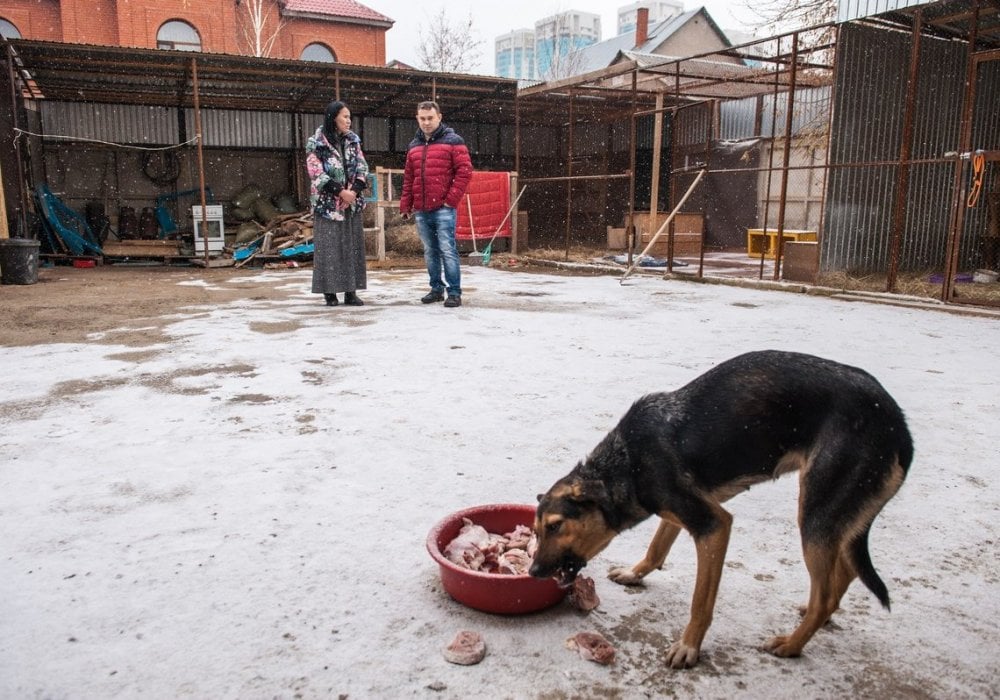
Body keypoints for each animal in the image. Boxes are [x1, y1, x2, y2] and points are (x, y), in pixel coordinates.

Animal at [532, 350, 916, 668]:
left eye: (555, 525)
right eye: (536, 531)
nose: (534, 572)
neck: (625, 462)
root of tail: (899, 425)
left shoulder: (713, 524)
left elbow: (701, 601)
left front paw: (689, 646)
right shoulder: (681, 510)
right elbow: (657, 547)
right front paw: (635, 573)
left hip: (816, 513)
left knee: (826, 594)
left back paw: (792, 644)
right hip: (840, 517)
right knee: (844, 573)